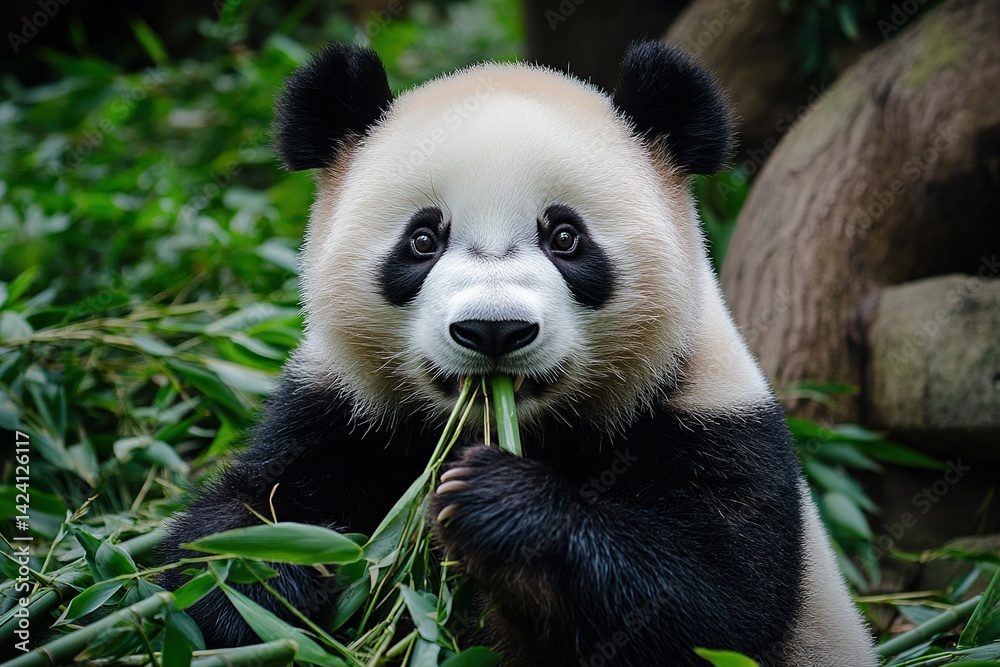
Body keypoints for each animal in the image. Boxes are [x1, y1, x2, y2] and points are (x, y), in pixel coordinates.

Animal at [161, 41, 879, 666]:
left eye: (564, 236)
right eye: (423, 239)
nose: (494, 330)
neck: (516, 428)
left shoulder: (712, 419)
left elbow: (711, 602)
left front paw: (500, 501)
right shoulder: (341, 412)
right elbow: (224, 532)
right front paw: (269, 574)